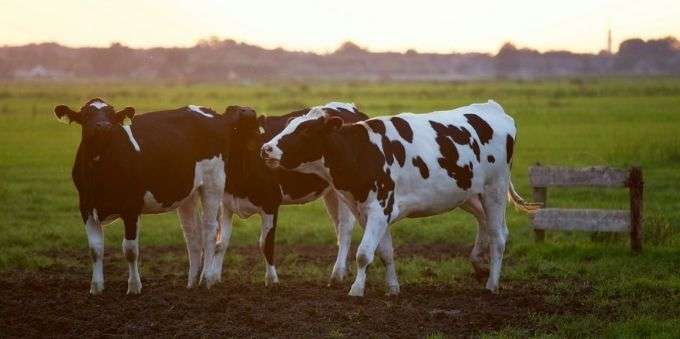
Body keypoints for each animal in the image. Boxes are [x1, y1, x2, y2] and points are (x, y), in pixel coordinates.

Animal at [55, 99, 246, 294]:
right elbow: (95, 249)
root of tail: (213, 113)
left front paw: (134, 287)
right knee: (192, 235)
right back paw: (191, 283)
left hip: (213, 182)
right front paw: (96, 287)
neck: (100, 171)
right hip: (189, 193)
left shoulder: (131, 207)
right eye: (86, 115)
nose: (104, 126)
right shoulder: (85, 206)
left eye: (111, 115)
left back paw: (206, 280)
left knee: (210, 230)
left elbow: (130, 249)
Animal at [210, 103, 370, 286]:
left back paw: (337, 274)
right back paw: (343, 271)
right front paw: (213, 278)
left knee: (344, 229)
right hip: (332, 192)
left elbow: (266, 243)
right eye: (230, 112)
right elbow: (221, 243)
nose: (248, 111)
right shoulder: (226, 204)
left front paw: (272, 280)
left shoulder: (270, 203)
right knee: (338, 227)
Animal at [262, 99, 540, 296]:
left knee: (499, 235)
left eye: (306, 132)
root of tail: (491, 108)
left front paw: (356, 290)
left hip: (495, 189)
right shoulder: (371, 212)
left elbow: (363, 254)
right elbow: (385, 252)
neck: (362, 151)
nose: (266, 148)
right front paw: (393, 288)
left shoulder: (379, 208)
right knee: (484, 222)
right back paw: (478, 264)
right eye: (288, 126)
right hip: (468, 193)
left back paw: (492, 283)